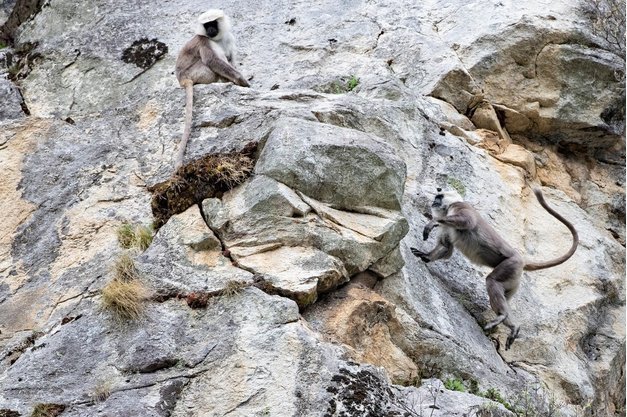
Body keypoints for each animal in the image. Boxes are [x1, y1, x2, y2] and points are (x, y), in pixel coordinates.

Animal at [174, 8, 250, 167]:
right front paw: (241, 81)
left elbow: (232, 59)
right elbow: (212, 60)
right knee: (211, 61)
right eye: (206, 24)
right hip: (196, 72)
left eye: (213, 23)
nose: (209, 30)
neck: (217, 39)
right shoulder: (204, 39)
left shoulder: (229, 38)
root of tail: (182, 79)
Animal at [412, 188, 580, 348]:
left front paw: (433, 221)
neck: (448, 208)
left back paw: (502, 316)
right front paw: (426, 256)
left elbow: (467, 222)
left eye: (439, 197)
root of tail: (522, 260)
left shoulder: (460, 207)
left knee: (492, 280)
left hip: (510, 265)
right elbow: (446, 249)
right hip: (513, 281)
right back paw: (513, 326)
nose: (434, 202)